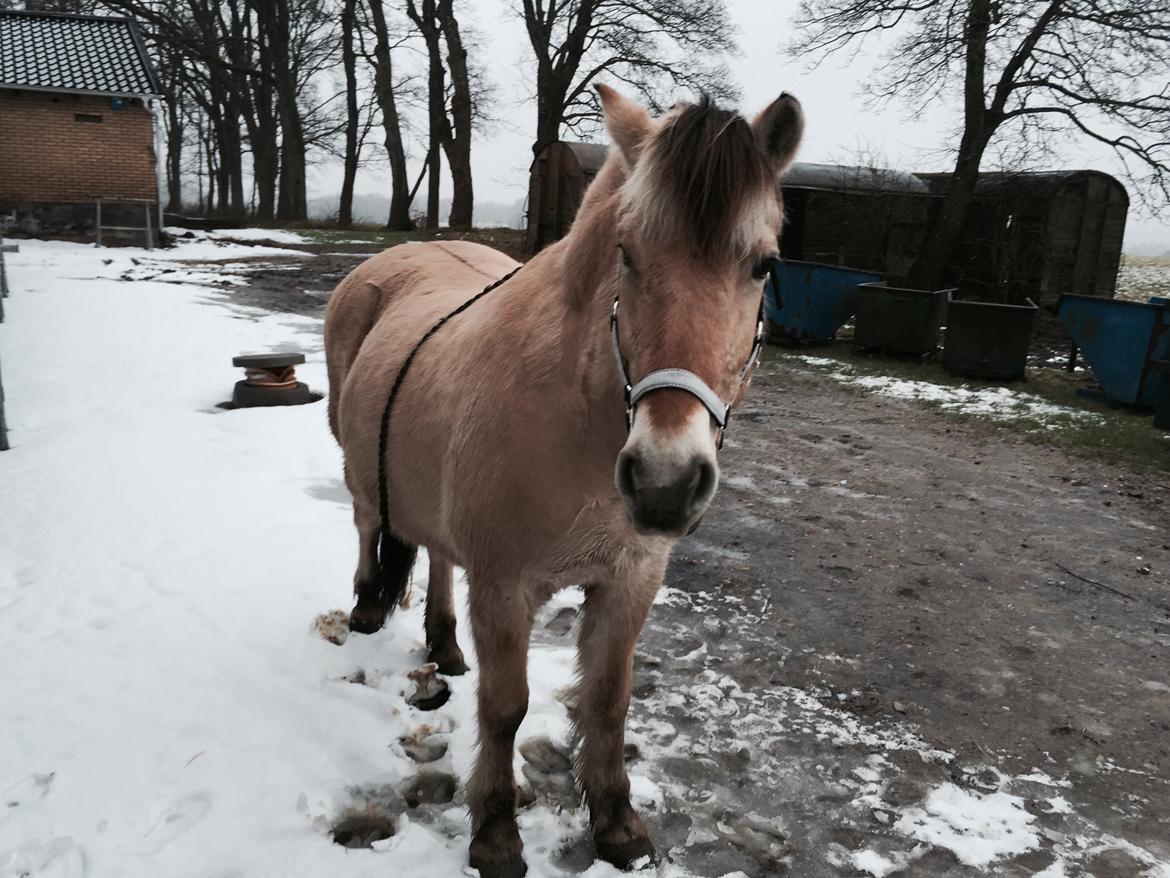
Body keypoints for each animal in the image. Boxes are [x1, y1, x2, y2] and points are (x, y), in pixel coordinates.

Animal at [327, 84, 804, 878]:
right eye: (627, 254)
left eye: (764, 265)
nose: (665, 481)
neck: (578, 423)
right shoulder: (504, 589)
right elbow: (505, 709)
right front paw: (495, 835)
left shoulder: (630, 580)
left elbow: (608, 702)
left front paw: (617, 824)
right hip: (359, 473)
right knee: (370, 525)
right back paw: (367, 609)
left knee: (438, 556)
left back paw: (445, 647)